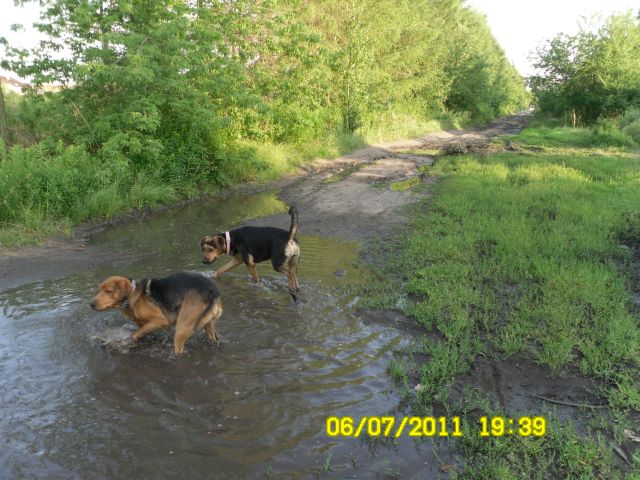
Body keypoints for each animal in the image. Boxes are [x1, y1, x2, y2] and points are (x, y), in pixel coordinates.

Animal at [89, 272, 221, 354]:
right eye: (99, 290)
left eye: (108, 291)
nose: (91, 304)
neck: (133, 295)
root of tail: (213, 290)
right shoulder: (144, 325)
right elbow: (142, 332)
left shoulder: (161, 320)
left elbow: (134, 334)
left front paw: (125, 342)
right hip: (209, 326)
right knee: (214, 339)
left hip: (181, 328)